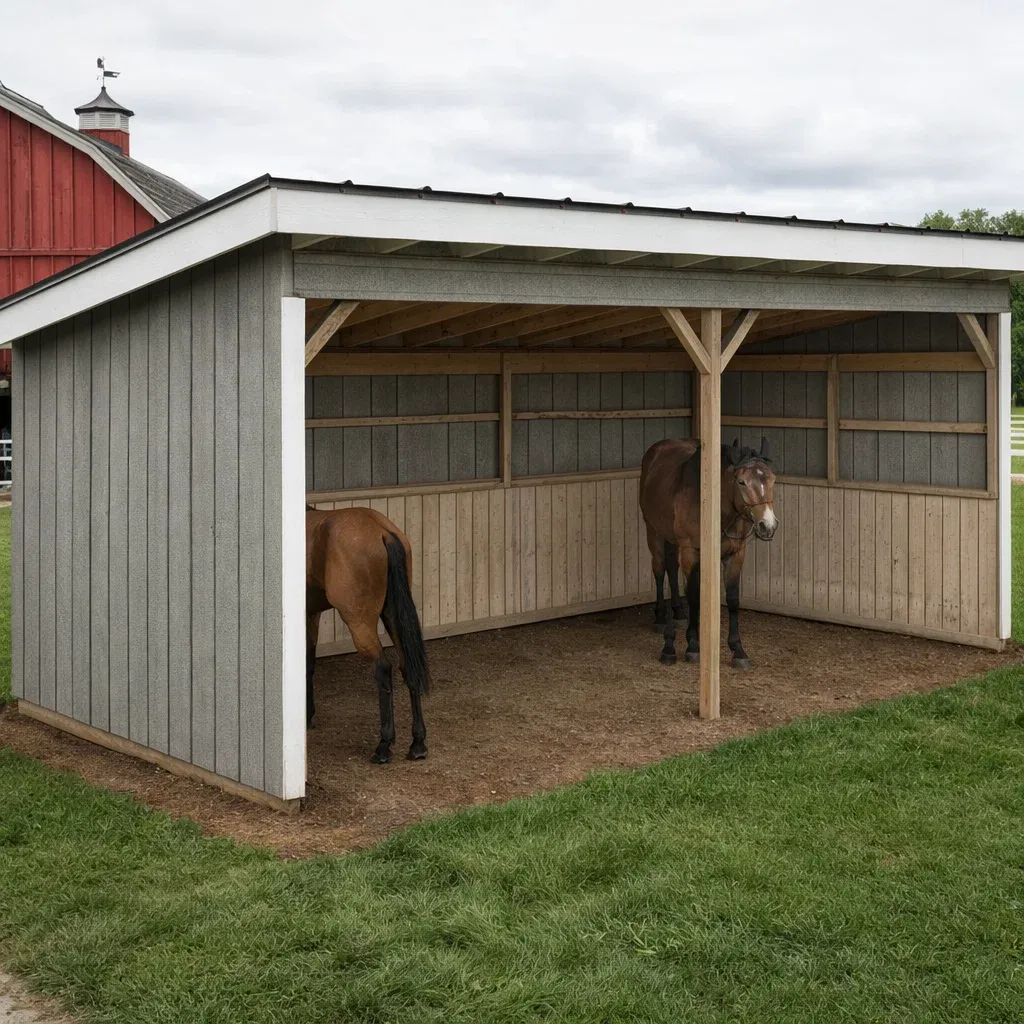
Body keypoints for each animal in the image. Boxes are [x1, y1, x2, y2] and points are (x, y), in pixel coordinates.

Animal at [306, 505, 431, 763]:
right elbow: (309, 664)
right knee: (407, 666)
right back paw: (418, 744)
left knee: (383, 667)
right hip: (393, 616)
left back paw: (383, 745)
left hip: (359, 623)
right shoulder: (312, 614)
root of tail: (383, 532)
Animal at [639, 436, 778, 671]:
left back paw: (678, 612)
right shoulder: (690, 551)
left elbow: (732, 599)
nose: (768, 525)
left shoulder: (736, 554)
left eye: (772, 480)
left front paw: (738, 649)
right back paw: (661, 618)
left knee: (672, 568)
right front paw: (693, 646)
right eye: (741, 482)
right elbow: (694, 594)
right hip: (654, 531)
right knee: (659, 569)